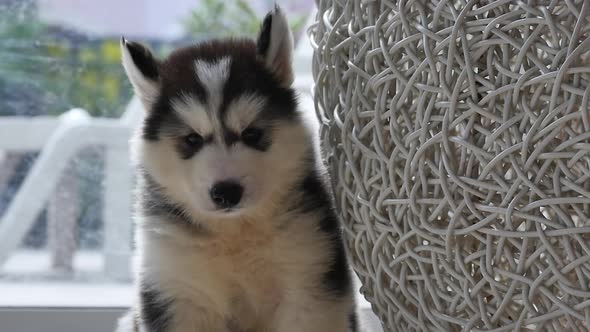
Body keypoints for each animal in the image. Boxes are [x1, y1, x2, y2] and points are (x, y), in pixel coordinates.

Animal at [114, 5, 356, 332]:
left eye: (252, 134)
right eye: (192, 139)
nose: (226, 192)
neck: (233, 234)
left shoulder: (310, 282)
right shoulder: (175, 289)